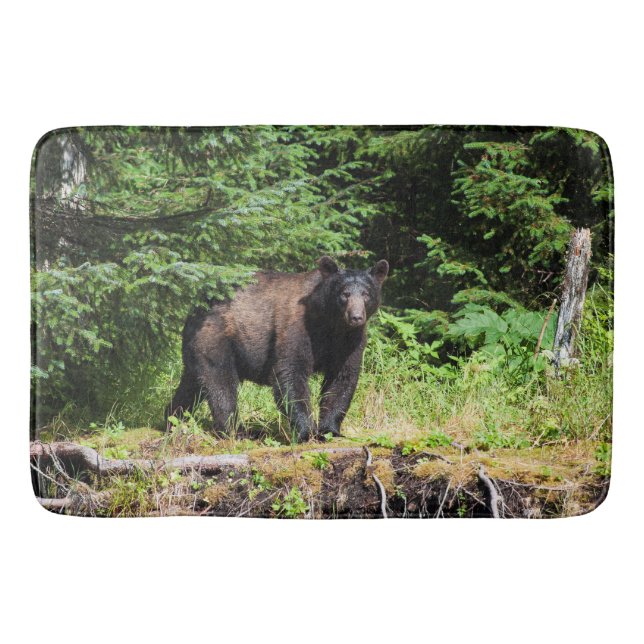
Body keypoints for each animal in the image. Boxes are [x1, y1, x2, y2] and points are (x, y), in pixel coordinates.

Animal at [166, 256, 389, 442]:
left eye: (366, 294)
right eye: (344, 294)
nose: (356, 317)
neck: (330, 324)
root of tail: (195, 308)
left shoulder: (349, 342)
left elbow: (342, 379)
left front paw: (329, 430)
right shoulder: (297, 327)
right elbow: (291, 373)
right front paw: (306, 432)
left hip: (197, 349)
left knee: (192, 384)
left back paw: (172, 418)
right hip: (216, 338)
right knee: (221, 383)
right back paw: (237, 431)